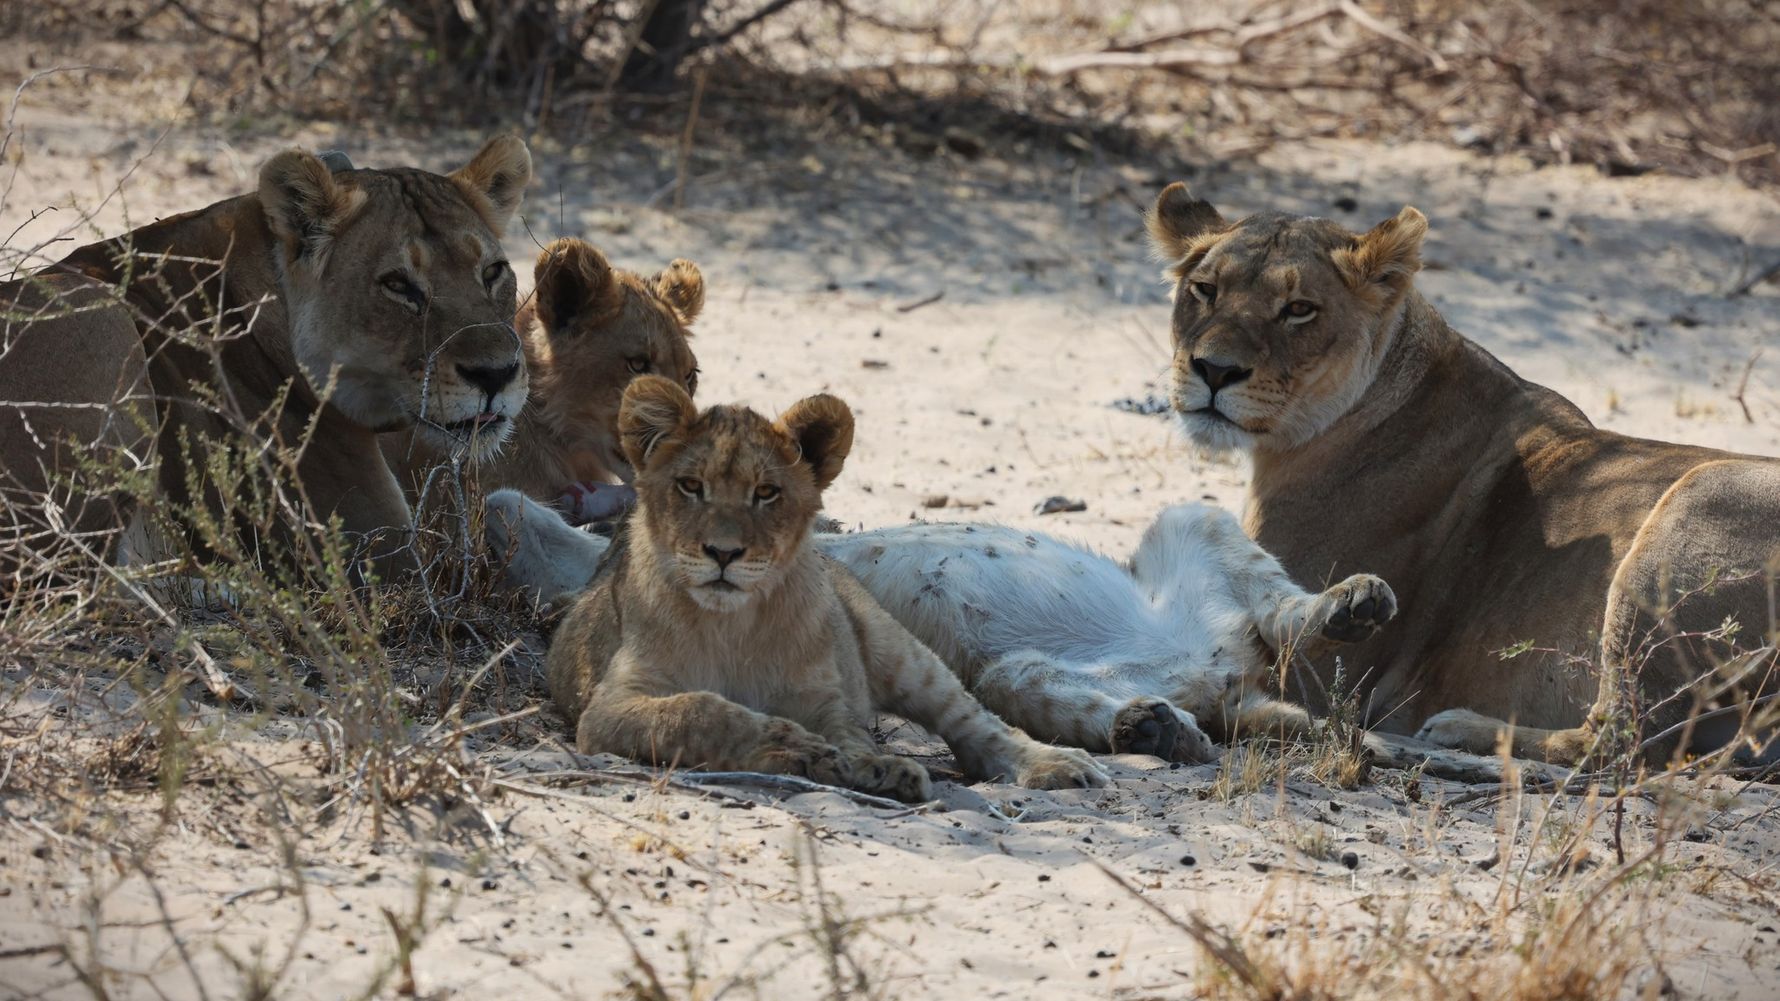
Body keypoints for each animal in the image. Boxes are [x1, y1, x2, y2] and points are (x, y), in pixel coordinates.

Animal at [516, 375, 1108, 801]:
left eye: (766, 493)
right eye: (690, 485)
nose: (723, 553)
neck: (733, 625)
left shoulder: (827, 696)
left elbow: (848, 733)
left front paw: (870, 766)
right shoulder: (608, 710)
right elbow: (703, 710)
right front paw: (798, 748)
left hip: (902, 651)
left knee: (976, 724)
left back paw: (1056, 764)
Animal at [1145, 181, 1780, 767]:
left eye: (1300, 309)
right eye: (1205, 290)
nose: (1214, 370)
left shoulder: (1321, 676)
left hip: (1697, 499)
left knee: (1619, 740)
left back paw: (1457, 731)